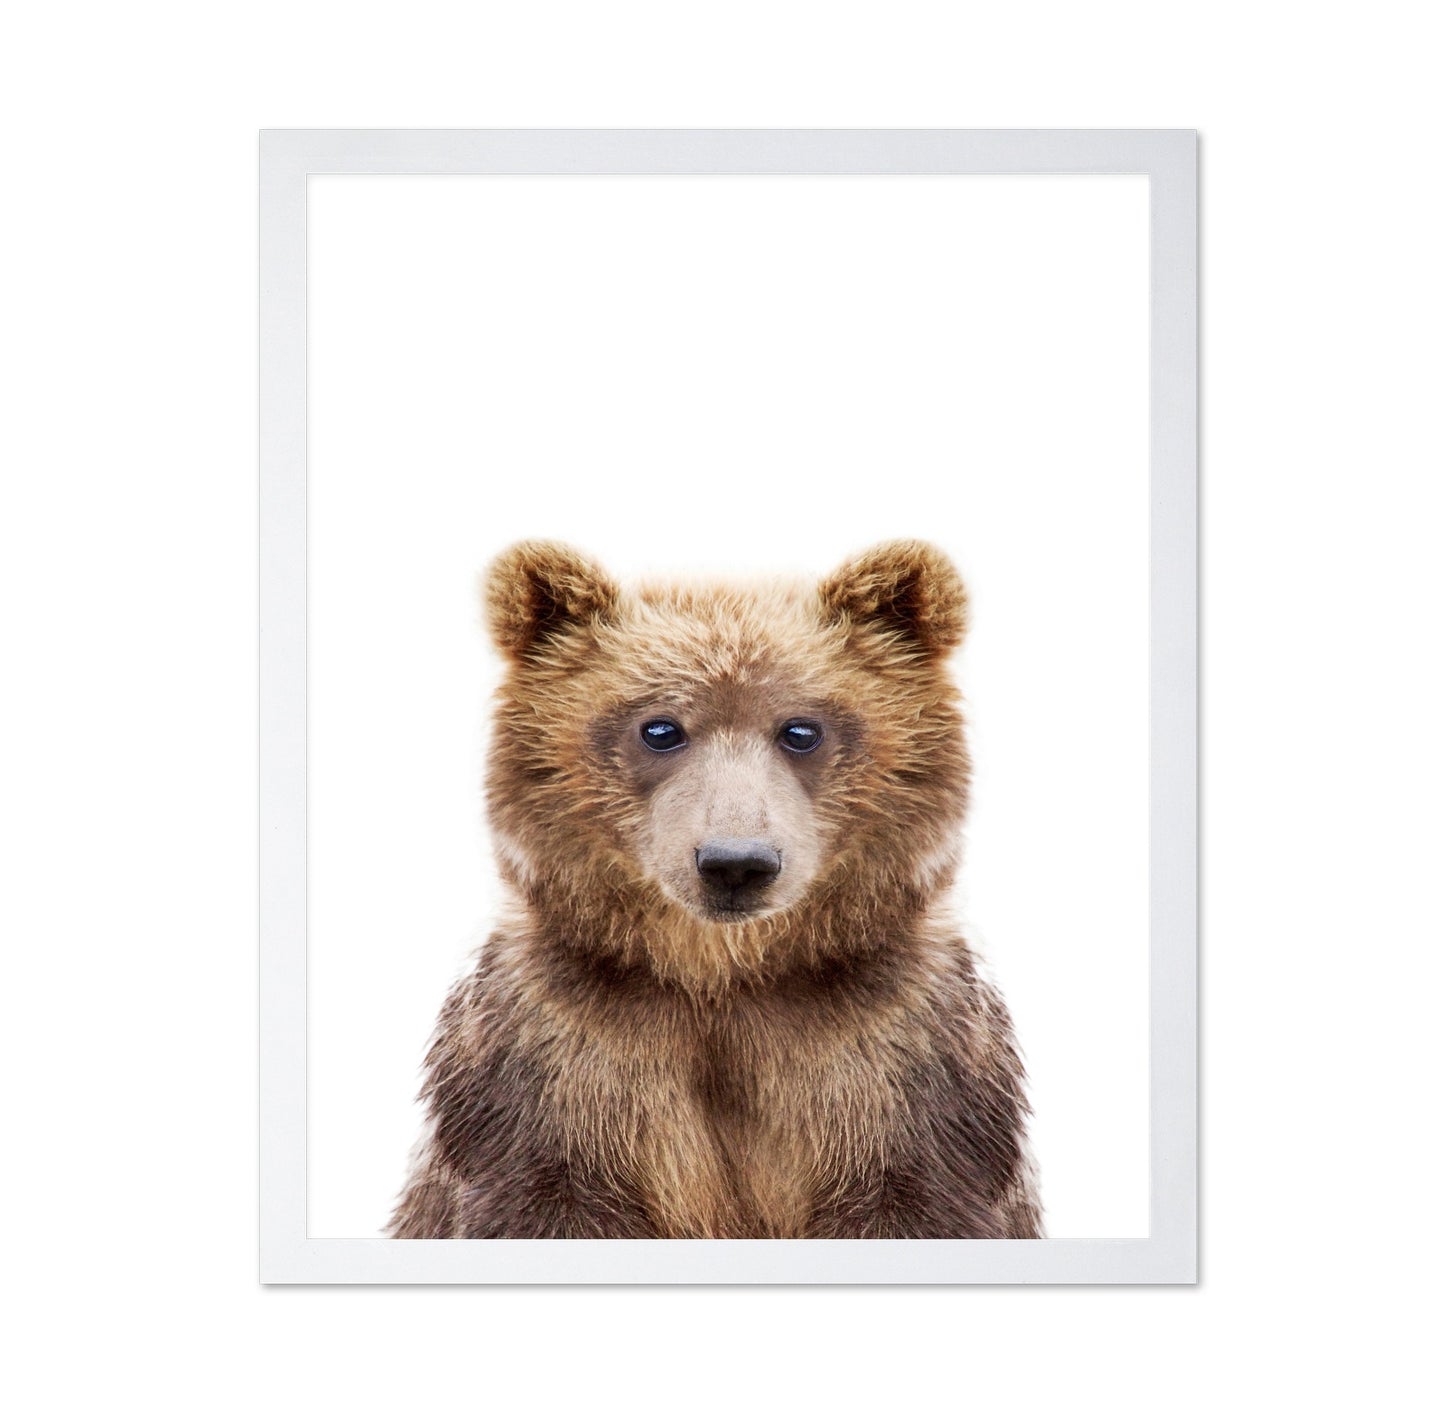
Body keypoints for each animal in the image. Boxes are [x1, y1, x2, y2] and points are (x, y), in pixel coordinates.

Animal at [387, 539, 1042, 1239]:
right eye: (660, 728)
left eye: (801, 729)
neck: (722, 977)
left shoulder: (900, 1060)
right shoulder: (553, 1060)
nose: (735, 863)